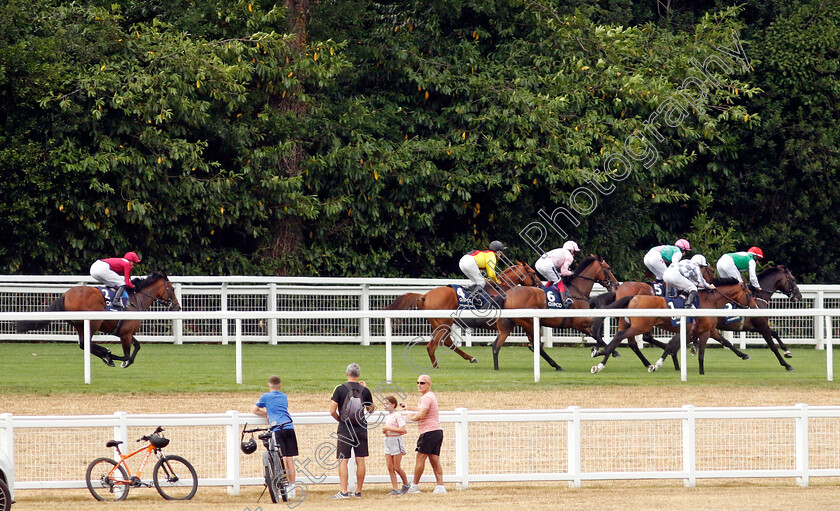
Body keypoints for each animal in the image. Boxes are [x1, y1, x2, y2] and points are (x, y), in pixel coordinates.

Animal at [16, 272, 180, 368]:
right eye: (172, 289)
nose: (177, 307)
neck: (136, 299)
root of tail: (65, 296)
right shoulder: (125, 333)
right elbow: (127, 355)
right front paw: (113, 357)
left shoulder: (125, 332)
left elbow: (137, 346)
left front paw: (118, 360)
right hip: (93, 322)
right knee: (85, 343)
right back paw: (106, 354)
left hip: (80, 325)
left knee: (84, 344)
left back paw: (105, 354)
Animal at [384, 262, 540, 370]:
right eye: (533, 272)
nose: (539, 284)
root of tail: (424, 296)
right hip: (443, 323)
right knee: (432, 346)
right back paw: (436, 367)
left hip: (440, 324)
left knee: (447, 342)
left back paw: (470, 358)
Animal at [488, 256, 620, 372]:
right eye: (608, 268)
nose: (617, 284)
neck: (577, 291)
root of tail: (506, 296)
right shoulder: (579, 322)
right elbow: (597, 331)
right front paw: (601, 350)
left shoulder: (581, 324)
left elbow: (596, 333)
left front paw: (607, 351)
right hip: (529, 323)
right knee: (536, 346)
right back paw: (557, 366)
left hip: (511, 324)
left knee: (496, 345)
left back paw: (496, 368)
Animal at [592, 280, 752, 376]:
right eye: (750, 294)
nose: (753, 306)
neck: (708, 302)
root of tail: (633, 297)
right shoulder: (705, 332)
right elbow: (699, 353)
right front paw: (701, 372)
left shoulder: (701, 331)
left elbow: (727, 342)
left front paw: (744, 355)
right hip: (640, 326)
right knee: (621, 338)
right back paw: (601, 361)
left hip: (628, 324)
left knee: (622, 339)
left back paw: (600, 357)